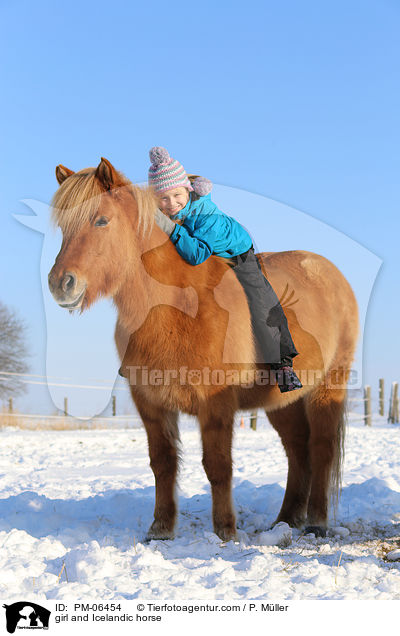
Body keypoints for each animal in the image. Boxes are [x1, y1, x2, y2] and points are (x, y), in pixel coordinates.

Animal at [48, 157, 358, 540]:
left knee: (321, 448)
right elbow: (163, 463)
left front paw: (225, 531)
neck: (177, 305)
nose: (61, 284)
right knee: (298, 450)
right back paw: (285, 520)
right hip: (282, 400)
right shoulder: (150, 404)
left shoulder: (216, 404)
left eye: (101, 220)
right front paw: (161, 529)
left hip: (328, 387)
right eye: (63, 226)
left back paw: (316, 521)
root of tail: (331, 275)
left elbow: (218, 466)